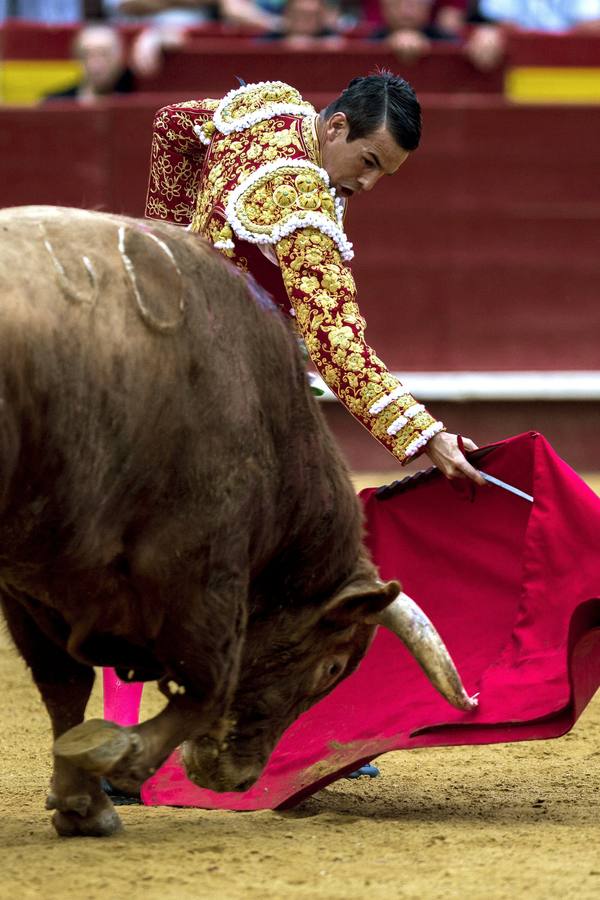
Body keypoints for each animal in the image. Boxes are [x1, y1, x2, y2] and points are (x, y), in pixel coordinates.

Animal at [0, 206, 474, 836]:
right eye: (331, 667)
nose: (237, 779)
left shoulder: (32, 583)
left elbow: (64, 686)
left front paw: (84, 804)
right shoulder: (199, 565)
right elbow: (209, 682)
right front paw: (113, 760)